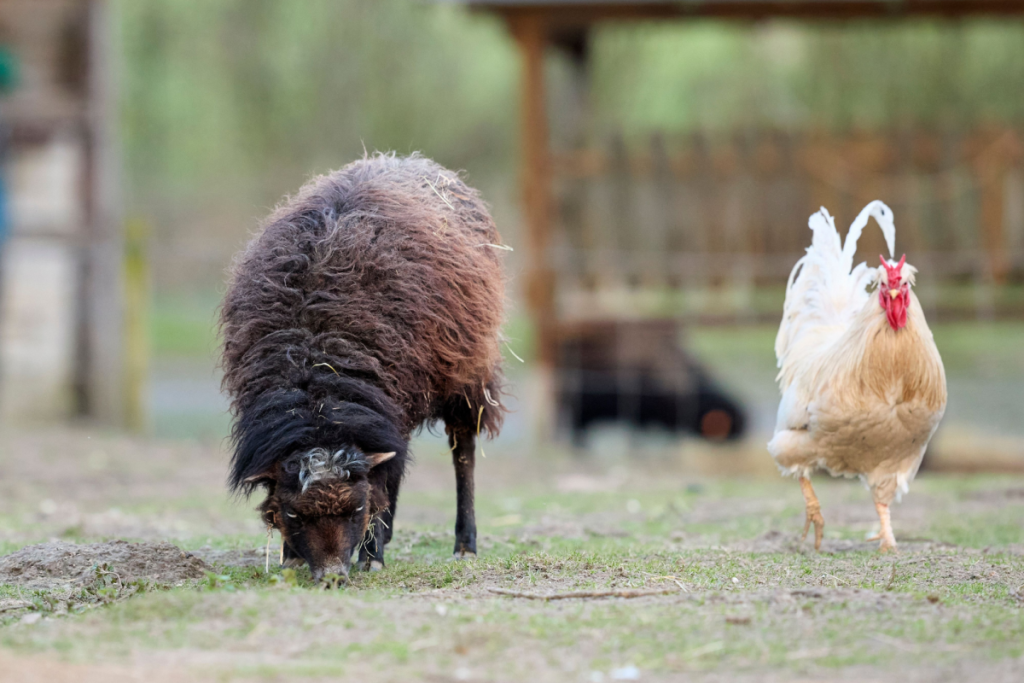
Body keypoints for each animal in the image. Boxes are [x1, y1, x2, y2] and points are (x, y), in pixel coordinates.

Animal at [219, 153, 506, 583]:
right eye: (294, 513)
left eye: (355, 508)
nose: (333, 576)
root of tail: (406, 158)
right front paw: (292, 555)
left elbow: (382, 484)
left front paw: (371, 555)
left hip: (467, 377)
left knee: (463, 453)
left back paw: (464, 545)